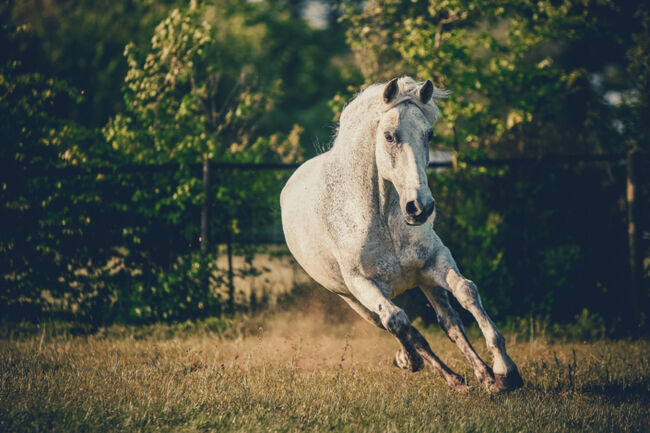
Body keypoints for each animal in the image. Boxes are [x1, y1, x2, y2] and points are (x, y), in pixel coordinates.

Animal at [278, 76, 520, 390]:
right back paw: (446, 375)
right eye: (390, 136)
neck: (380, 219)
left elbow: (467, 291)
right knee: (396, 324)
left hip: (425, 280)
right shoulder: (362, 284)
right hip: (354, 301)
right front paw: (409, 360)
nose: (420, 207)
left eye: (429, 135)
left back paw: (483, 376)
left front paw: (505, 371)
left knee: (450, 322)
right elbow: (397, 321)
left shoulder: (435, 261)